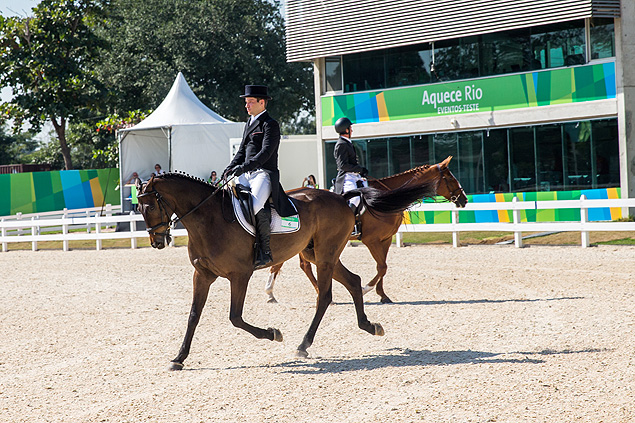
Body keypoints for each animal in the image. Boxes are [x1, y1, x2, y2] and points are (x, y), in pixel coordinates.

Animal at [137, 171, 440, 370]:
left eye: (149, 206)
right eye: (139, 208)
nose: (156, 241)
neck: (209, 220)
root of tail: (343, 200)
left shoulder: (240, 275)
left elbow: (235, 317)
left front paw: (273, 333)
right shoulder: (202, 275)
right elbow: (193, 316)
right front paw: (178, 359)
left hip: (326, 255)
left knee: (325, 296)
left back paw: (303, 344)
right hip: (318, 254)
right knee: (353, 282)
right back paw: (370, 326)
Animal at [266, 156, 470, 304]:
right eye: (450, 178)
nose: (464, 199)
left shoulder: (385, 239)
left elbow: (383, 266)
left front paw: (383, 295)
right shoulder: (371, 240)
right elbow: (381, 267)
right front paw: (366, 289)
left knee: (301, 265)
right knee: (297, 265)